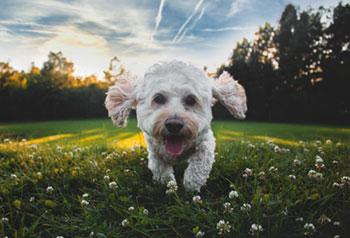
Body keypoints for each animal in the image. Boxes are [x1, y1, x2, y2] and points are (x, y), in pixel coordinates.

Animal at [104, 60, 246, 192]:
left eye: (191, 100)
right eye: (158, 98)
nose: (174, 124)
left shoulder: (206, 140)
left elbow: (200, 161)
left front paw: (192, 183)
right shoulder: (154, 151)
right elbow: (161, 169)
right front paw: (168, 185)